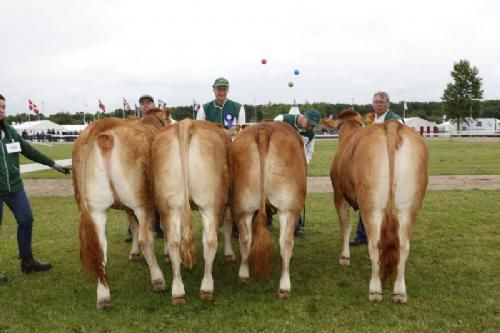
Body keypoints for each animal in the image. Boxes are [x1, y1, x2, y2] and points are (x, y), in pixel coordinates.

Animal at [72, 107, 170, 308]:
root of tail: (103, 128)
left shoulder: (126, 208)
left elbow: (133, 226)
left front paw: (134, 253)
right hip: (141, 201)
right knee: (145, 239)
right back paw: (158, 280)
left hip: (95, 209)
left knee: (99, 246)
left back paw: (103, 295)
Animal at [152, 118, 232, 304]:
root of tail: (186, 123)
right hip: (211, 203)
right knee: (210, 240)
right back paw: (207, 287)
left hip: (170, 205)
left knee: (174, 240)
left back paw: (178, 291)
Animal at [229, 120, 304, 296]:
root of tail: (264, 130)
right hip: (289, 207)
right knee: (285, 242)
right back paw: (284, 286)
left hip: (243, 205)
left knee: (245, 238)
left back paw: (244, 275)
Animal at [330, 107, 428, 302]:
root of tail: (391, 125)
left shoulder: (339, 195)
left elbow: (345, 226)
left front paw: (344, 258)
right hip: (409, 207)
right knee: (403, 245)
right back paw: (399, 292)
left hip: (371, 206)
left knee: (375, 243)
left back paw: (375, 290)